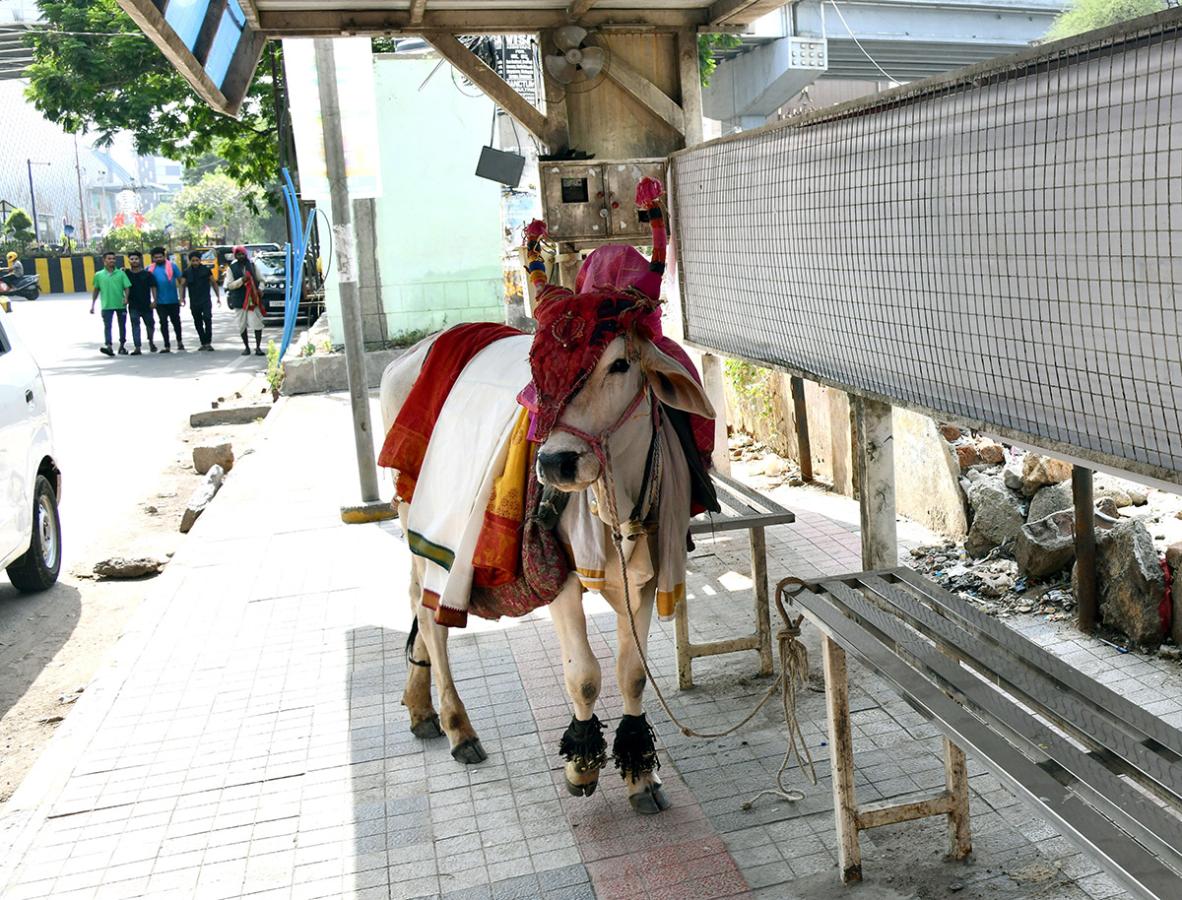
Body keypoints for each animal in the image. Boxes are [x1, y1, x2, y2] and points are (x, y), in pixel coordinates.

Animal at [378, 178, 713, 808]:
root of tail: (414, 352)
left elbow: (632, 672)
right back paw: (458, 725)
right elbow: (584, 675)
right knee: (429, 613)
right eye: (537, 366)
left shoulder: (648, 571)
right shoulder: (559, 573)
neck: (615, 498)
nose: (555, 461)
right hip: (418, 517)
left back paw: (419, 707)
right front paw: (582, 764)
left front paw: (639, 772)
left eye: (620, 364)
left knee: (412, 598)